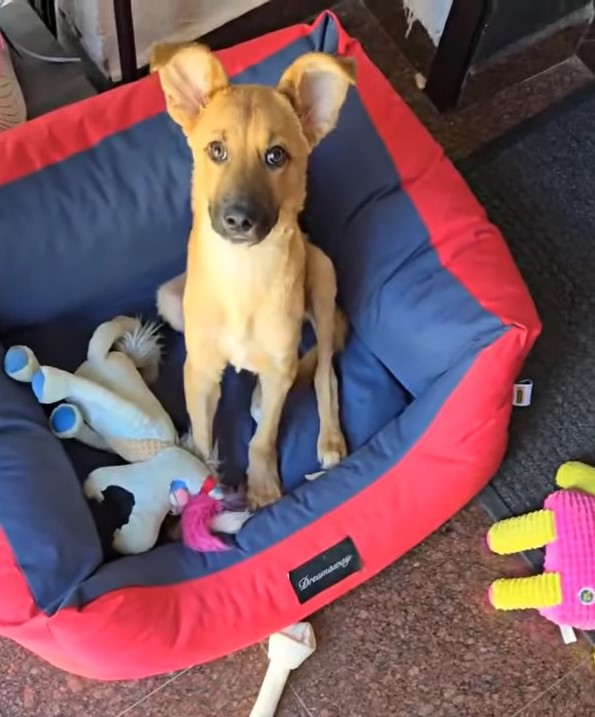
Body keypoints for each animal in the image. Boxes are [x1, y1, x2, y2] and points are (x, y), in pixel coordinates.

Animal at [151, 42, 354, 510]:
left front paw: (262, 486)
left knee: (325, 373)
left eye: (275, 155)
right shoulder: (200, 370)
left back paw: (328, 437)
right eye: (216, 150)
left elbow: (263, 438)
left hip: (323, 278)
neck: (244, 274)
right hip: (170, 301)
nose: (239, 220)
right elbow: (203, 436)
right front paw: (204, 486)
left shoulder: (280, 365)